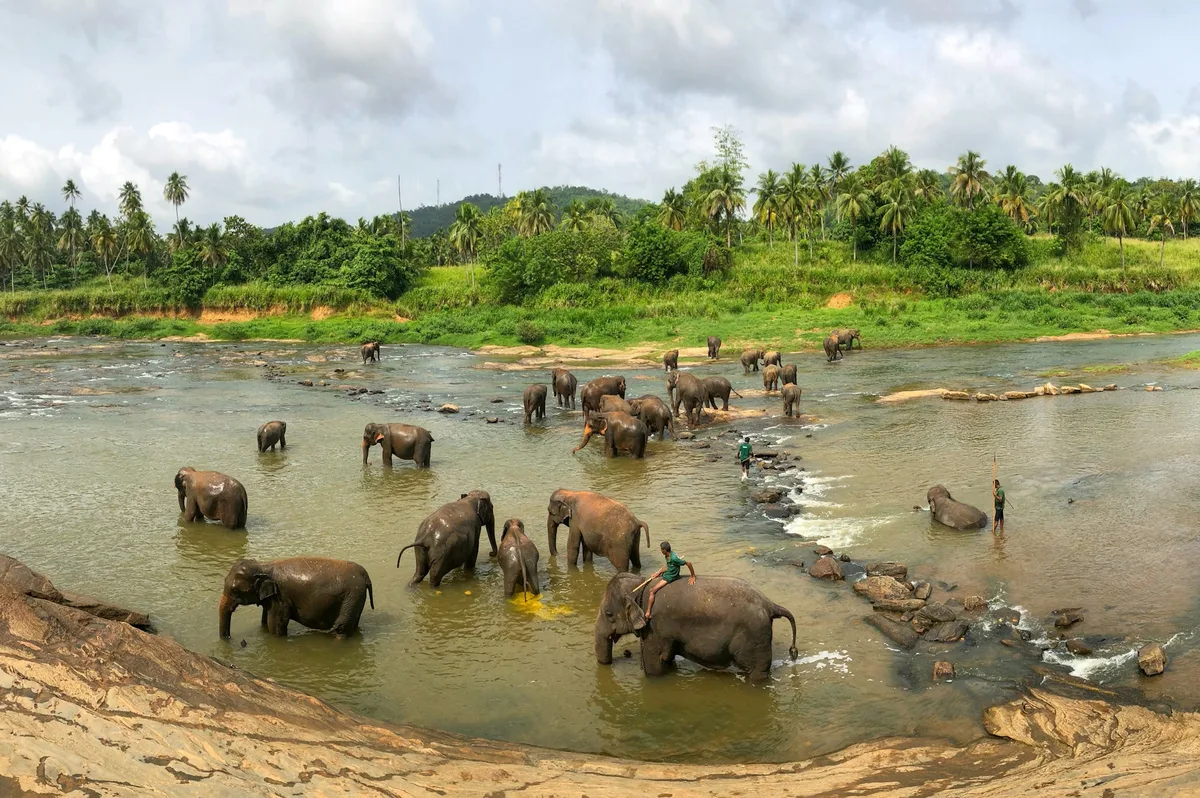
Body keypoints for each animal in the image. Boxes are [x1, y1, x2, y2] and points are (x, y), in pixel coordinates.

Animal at [218, 557, 373, 640]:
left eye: (235, 591)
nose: (229, 638)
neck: (263, 566)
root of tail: (365, 573)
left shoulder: (280, 598)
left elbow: (276, 625)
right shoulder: (272, 598)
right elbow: (265, 622)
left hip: (351, 598)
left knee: (341, 629)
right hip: (356, 599)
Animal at [594, 572, 798, 682]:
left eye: (608, 614)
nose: (621, 657)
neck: (641, 582)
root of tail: (770, 604)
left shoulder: (655, 626)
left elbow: (654, 663)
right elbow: (666, 659)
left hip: (755, 637)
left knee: (756, 671)